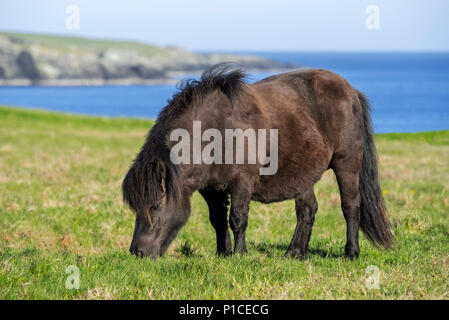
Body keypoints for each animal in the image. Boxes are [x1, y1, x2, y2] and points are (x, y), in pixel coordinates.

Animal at [122, 63, 392, 260]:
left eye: (154, 207)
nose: (138, 252)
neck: (217, 131)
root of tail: (350, 91)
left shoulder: (242, 181)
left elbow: (237, 219)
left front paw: (240, 254)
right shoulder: (211, 189)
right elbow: (218, 221)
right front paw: (223, 253)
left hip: (347, 163)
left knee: (351, 206)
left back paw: (351, 253)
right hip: (303, 174)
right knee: (307, 210)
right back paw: (294, 253)